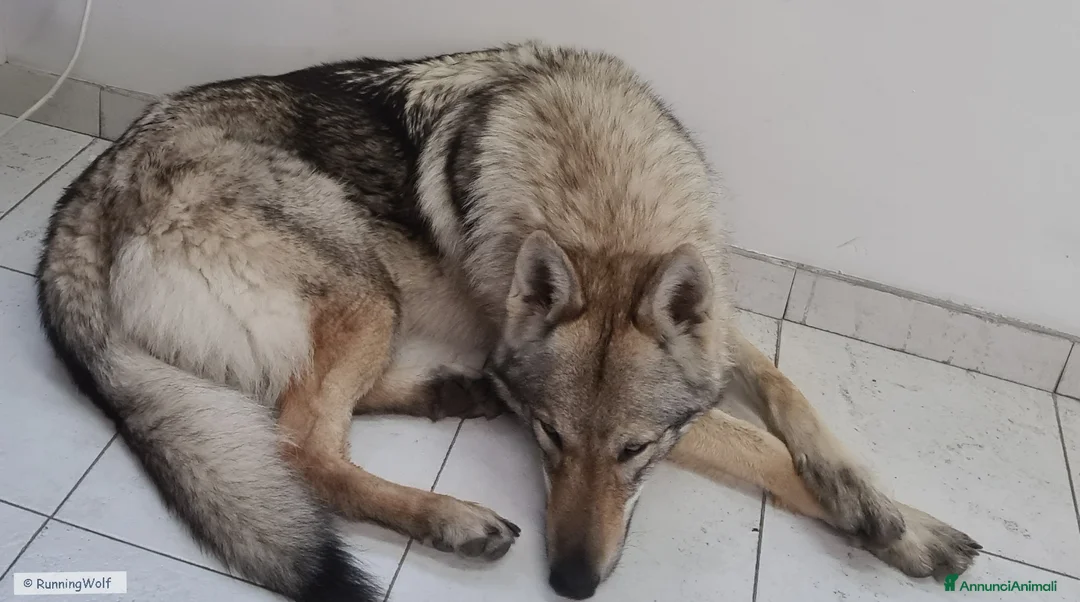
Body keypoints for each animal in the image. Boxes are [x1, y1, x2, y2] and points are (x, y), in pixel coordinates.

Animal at [36, 42, 979, 601]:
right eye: (550, 438)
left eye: (633, 452)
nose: (570, 583)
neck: (604, 204)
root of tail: (88, 190)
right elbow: (756, 444)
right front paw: (910, 529)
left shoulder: (713, 334)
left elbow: (786, 396)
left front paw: (871, 501)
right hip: (367, 288)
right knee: (301, 444)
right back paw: (449, 515)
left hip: (372, 305)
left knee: (322, 412)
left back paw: (455, 393)